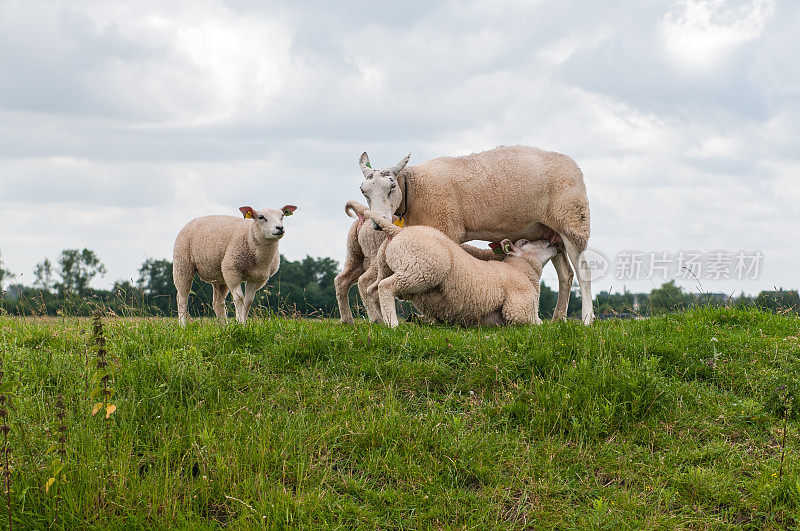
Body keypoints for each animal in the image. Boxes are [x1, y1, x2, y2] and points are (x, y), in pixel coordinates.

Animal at [356, 148, 592, 326]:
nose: (376, 223)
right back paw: (558, 318)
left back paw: (587, 319)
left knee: (583, 272)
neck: (413, 189)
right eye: (363, 191)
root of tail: (575, 166)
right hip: (550, 231)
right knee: (566, 274)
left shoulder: (446, 227)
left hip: (573, 222)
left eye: (391, 186)